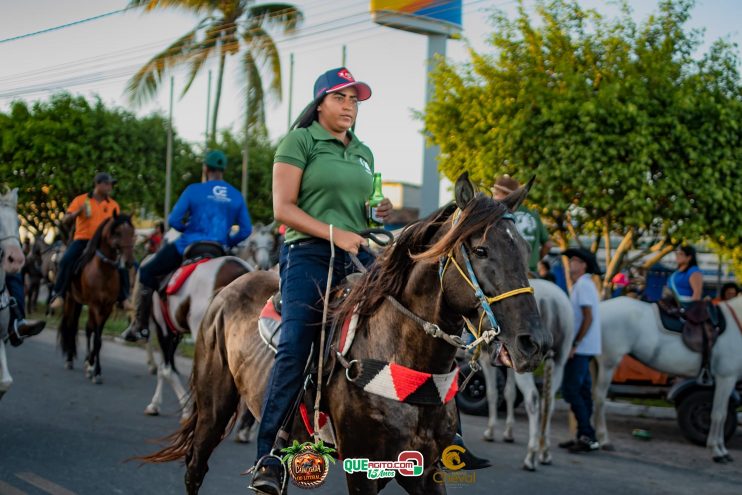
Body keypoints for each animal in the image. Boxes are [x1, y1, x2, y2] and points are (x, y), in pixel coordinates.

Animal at [59, 213, 135, 384]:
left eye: (132, 233)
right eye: (117, 233)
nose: (128, 262)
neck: (104, 270)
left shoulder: (107, 307)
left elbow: (97, 337)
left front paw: (92, 366)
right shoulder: (94, 304)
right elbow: (97, 337)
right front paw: (95, 371)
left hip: (81, 303)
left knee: (87, 328)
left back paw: (87, 361)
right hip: (71, 300)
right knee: (71, 325)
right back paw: (69, 359)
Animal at [140, 172, 552, 494]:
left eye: (524, 248)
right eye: (480, 250)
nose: (534, 343)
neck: (401, 357)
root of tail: (230, 284)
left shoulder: (424, 471)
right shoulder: (364, 470)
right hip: (213, 405)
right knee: (195, 468)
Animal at [480, 280, 580, 472]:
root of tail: (551, 301)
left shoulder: (487, 359)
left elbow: (492, 393)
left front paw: (490, 431)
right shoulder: (512, 362)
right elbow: (510, 393)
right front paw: (508, 432)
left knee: (533, 400)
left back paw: (531, 456)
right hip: (559, 361)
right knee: (549, 402)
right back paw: (545, 452)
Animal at [596, 298, 742, 464]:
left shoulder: (724, 380)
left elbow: (720, 414)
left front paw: (722, 450)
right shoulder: (726, 377)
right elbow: (719, 414)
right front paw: (717, 452)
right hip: (608, 362)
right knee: (599, 398)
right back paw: (604, 440)